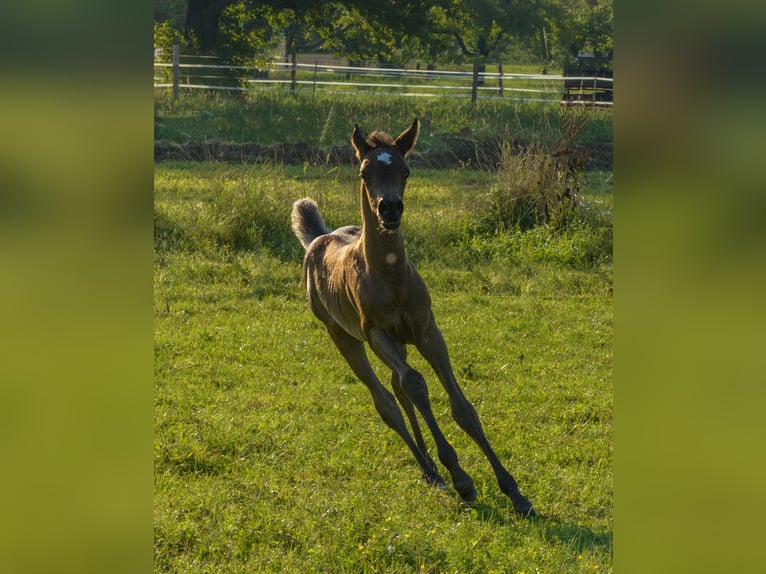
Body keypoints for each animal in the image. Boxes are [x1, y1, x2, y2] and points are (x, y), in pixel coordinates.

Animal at [294, 119, 540, 520]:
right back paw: (433, 470)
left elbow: (462, 407)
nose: (390, 208)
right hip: (343, 337)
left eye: (405, 170)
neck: (389, 275)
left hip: (399, 342)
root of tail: (318, 239)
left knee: (397, 387)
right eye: (365, 173)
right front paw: (461, 478)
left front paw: (516, 493)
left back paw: (432, 472)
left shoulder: (427, 331)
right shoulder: (377, 334)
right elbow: (416, 385)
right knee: (387, 401)